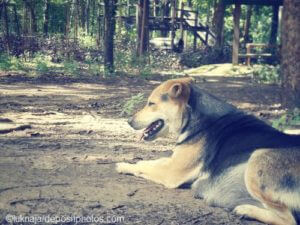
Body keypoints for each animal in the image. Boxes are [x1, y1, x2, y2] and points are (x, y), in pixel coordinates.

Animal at [116, 78, 300, 225]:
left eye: (151, 104)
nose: (128, 121)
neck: (192, 117)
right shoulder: (173, 162)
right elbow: (150, 162)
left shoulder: (172, 172)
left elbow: (144, 167)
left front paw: (123, 165)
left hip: (257, 158)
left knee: (289, 220)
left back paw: (246, 210)